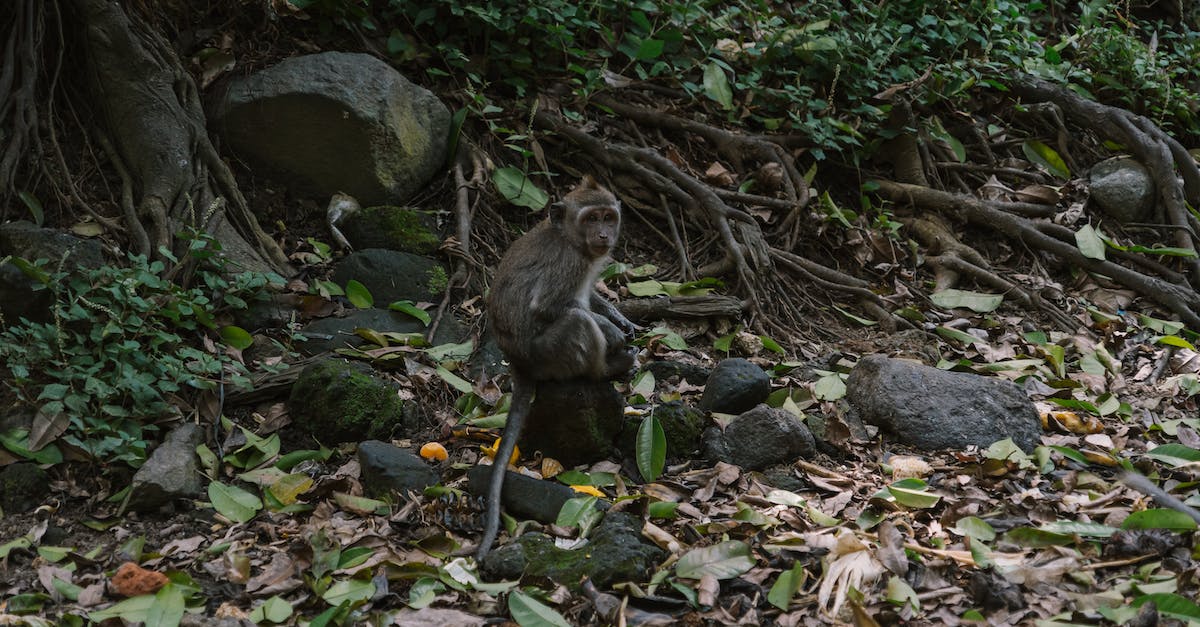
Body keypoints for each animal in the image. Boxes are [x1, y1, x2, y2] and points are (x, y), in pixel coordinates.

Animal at [477, 175, 638, 560]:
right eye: (591, 218)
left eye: (608, 217)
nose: (603, 235)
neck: (570, 239)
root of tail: (519, 364)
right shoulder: (569, 264)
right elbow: (548, 307)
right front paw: (610, 329)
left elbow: (589, 296)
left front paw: (619, 318)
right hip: (547, 354)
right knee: (576, 321)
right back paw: (608, 367)